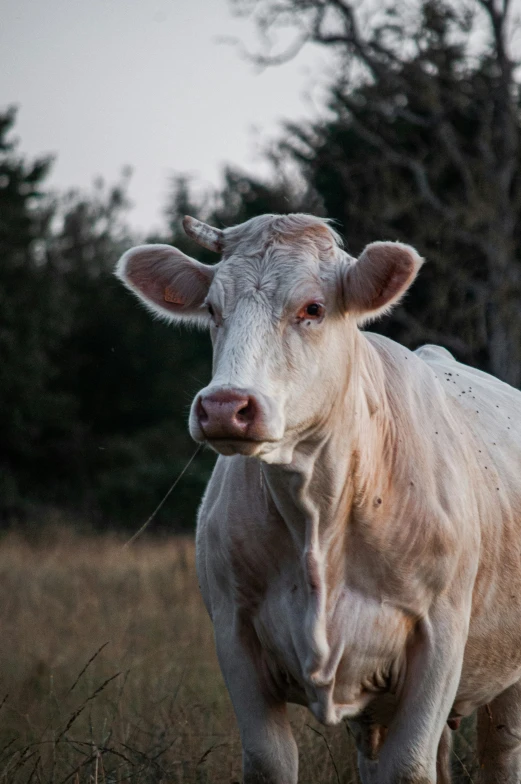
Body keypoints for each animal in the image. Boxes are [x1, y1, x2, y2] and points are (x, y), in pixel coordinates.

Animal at [116, 211, 520, 780]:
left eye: (312, 308)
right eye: (213, 309)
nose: (224, 407)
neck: (319, 513)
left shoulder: (440, 638)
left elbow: (409, 766)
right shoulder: (234, 635)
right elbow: (270, 761)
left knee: (500, 751)